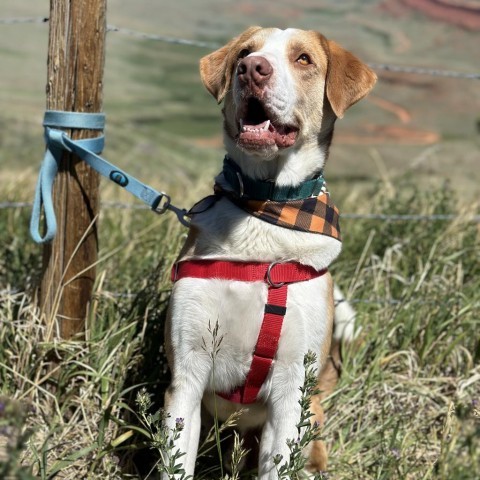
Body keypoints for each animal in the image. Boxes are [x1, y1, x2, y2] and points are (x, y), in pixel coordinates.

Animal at [163, 27, 376, 480]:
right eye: (244, 52)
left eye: (304, 59)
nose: (251, 68)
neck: (265, 208)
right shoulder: (186, 375)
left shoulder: (291, 388)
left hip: (311, 417)